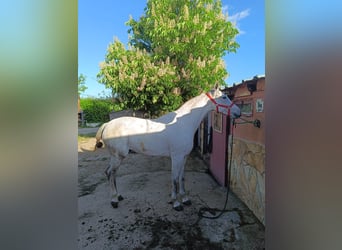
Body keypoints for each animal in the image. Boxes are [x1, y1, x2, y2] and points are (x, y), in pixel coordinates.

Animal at [93, 85, 240, 210]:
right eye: (224, 97)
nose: (238, 112)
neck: (184, 122)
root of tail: (107, 124)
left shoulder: (184, 157)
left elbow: (181, 178)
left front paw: (185, 199)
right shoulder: (176, 157)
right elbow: (174, 179)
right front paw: (176, 203)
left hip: (116, 157)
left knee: (111, 173)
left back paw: (118, 196)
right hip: (118, 156)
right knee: (110, 173)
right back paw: (114, 200)